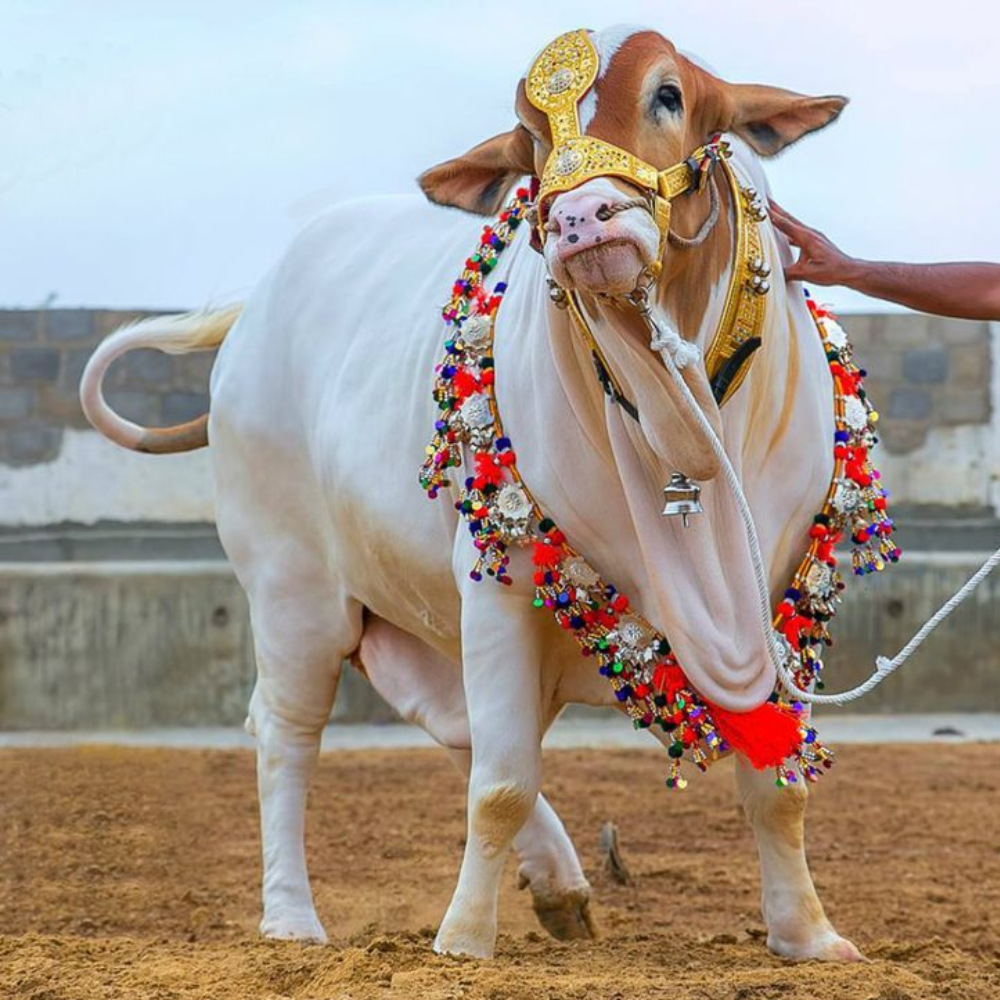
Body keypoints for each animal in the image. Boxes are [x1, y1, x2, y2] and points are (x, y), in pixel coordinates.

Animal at [80, 25, 861, 962]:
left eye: (669, 94)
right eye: (527, 136)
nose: (578, 220)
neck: (683, 427)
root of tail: (253, 313)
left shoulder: (785, 594)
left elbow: (780, 785)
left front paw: (808, 934)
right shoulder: (503, 584)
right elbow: (501, 784)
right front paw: (461, 939)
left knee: (451, 727)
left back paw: (559, 884)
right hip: (292, 590)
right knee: (289, 732)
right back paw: (293, 916)